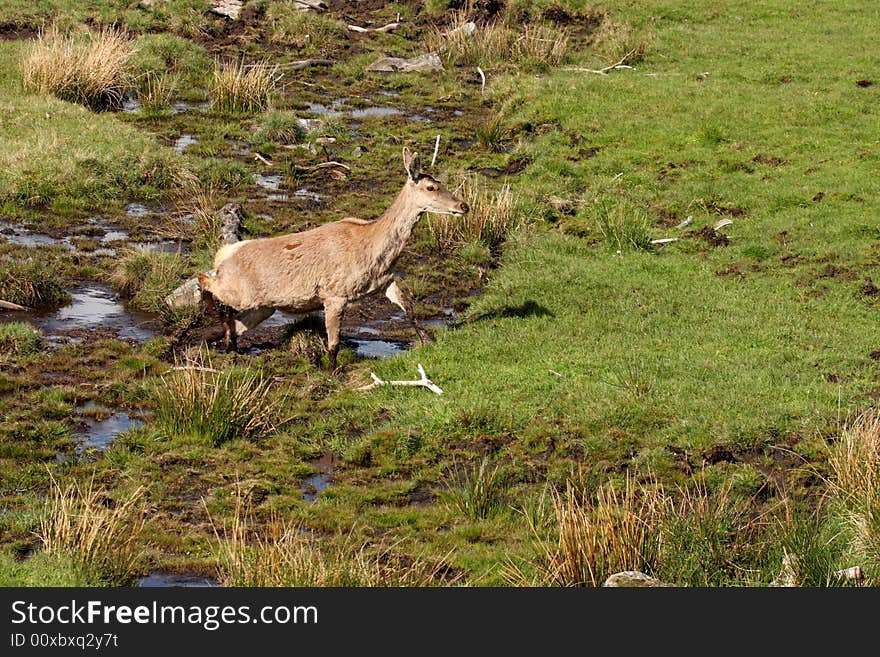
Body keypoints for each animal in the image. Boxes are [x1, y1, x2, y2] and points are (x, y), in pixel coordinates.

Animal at [200, 145, 470, 366]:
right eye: (431, 187)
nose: (463, 206)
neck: (374, 253)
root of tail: (223, 254)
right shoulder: (334, 294)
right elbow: (334, 343)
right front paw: (332, 370)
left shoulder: (386, 280)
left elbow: (409, 307)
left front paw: (428, 340)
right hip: (241, 292)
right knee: (205, 280)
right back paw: (221, 329)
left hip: (264, 306)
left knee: (236, 321)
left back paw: (228, 343)